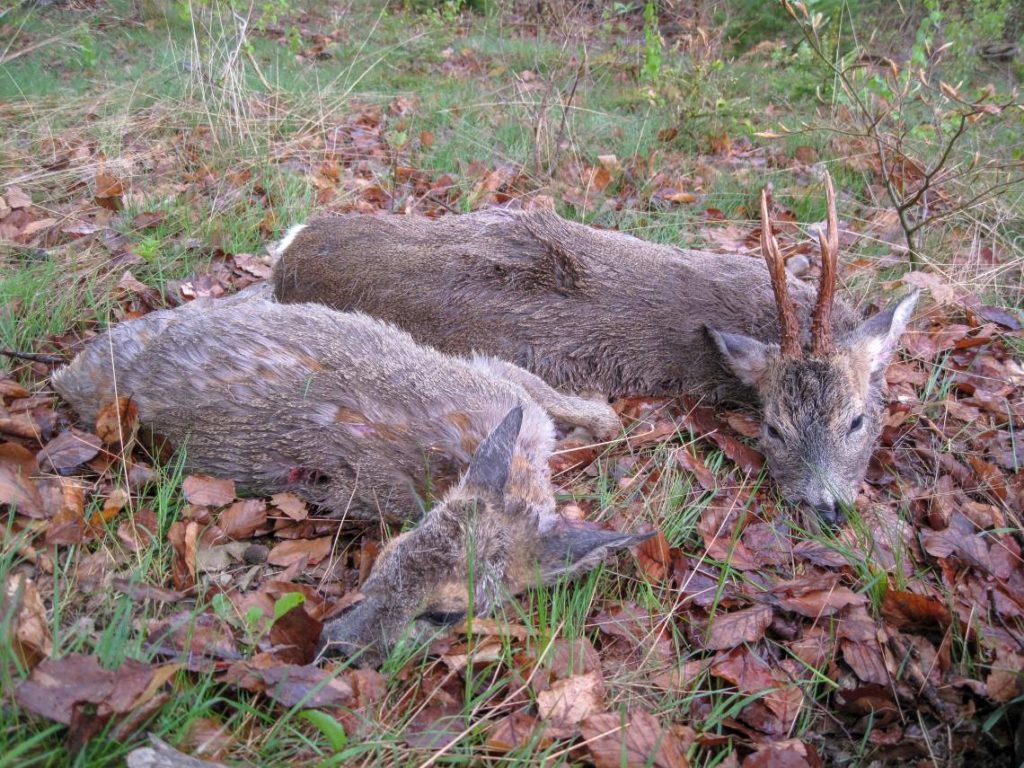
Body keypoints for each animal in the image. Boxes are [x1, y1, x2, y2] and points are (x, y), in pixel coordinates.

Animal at [51, 290, 643, 663]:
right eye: (386, 558)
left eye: (446, 616)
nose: (333, 645)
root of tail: (69, 379)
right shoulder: (496, 375)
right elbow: (591, 412)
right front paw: (596, 414)